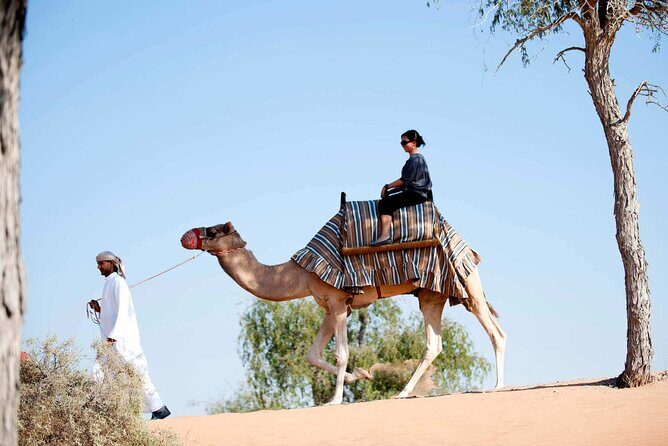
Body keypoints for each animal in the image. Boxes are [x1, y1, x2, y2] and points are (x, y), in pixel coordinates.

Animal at [180, 222, 506, 405]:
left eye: (212, 230)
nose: (185, 236)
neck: (300, 273)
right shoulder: (329, 305)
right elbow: (312, 354)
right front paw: (360, 376)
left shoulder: (338, 301)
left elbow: (340, 354)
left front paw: (335, 400)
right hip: (431, 295)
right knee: (434, 344)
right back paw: (402, 393)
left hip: (467, 281)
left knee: (495, 332)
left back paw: (498, 386)